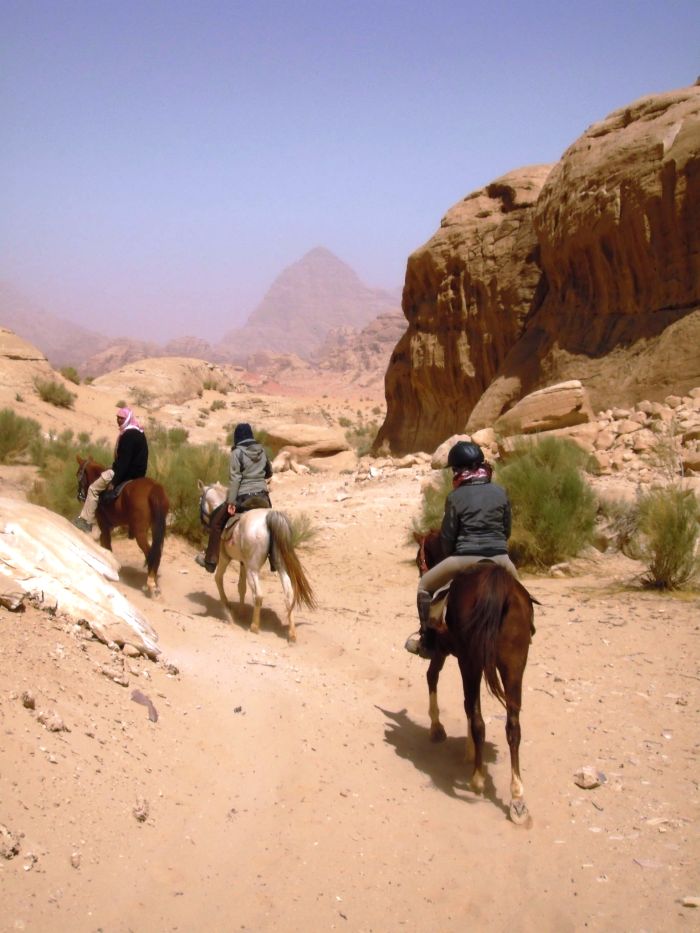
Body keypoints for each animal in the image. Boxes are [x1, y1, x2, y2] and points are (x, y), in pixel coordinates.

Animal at [77, 456, 170, 596]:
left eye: (78, 474)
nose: (79, 496)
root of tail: (154, 488)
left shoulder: (104, 526)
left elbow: (107, 546)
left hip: (140, 532)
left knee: (150, 553)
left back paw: (150, 584)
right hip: (156, 528)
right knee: (157, 553)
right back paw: (154, 583)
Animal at [198, 480, 316, 640]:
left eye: (200, 500)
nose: (203, 526)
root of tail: (269, 518)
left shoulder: (224, 558)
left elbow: (218, 578)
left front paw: (227, 607)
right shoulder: (243, 563)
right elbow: (241, 587)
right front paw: (241, 613)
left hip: (253, 569)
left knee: (259, 595)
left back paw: (254, 626)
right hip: (279, 566)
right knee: (288, 594)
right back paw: (291, 633)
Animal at [416, 532, 536, 824]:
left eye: (417, 558)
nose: (420, 571)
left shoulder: (447, 652)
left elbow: (435, 680)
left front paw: (439, 728)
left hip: (470, 661)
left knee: (479, 718)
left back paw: (478, 779)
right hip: (514, 664)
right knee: (513, 726)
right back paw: (517, 798)